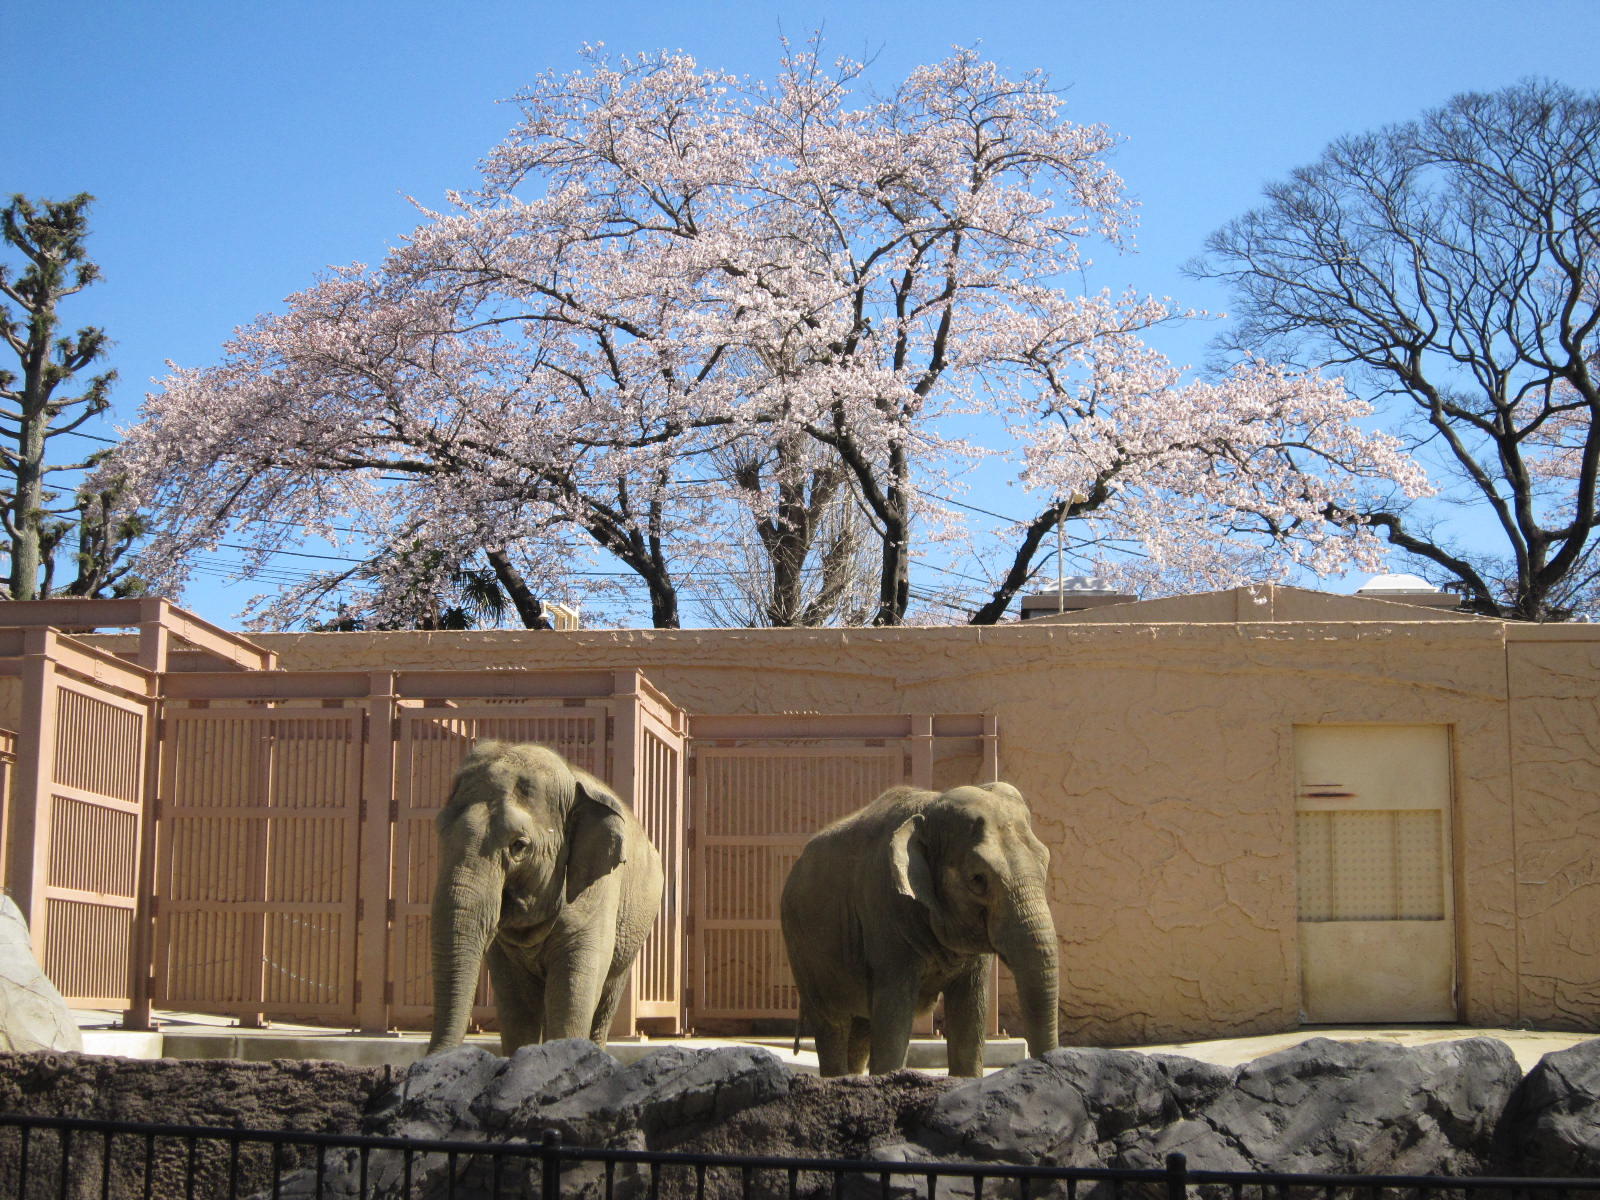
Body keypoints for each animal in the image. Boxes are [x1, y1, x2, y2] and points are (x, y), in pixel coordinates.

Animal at [425, 739, 662, 1056]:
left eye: (519, 845)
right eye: (441, 832)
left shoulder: (598, 888)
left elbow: (574, 986)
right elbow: (516, 1001)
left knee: (606, 997)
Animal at [777, 780, 1056, 1081]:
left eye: (1045, 862)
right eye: (977, 879)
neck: (931, 808)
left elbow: (970, 1011)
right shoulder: (885, 909)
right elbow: (895, 1013)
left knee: (861, 1027)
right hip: (803, 950)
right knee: (833, 1023)